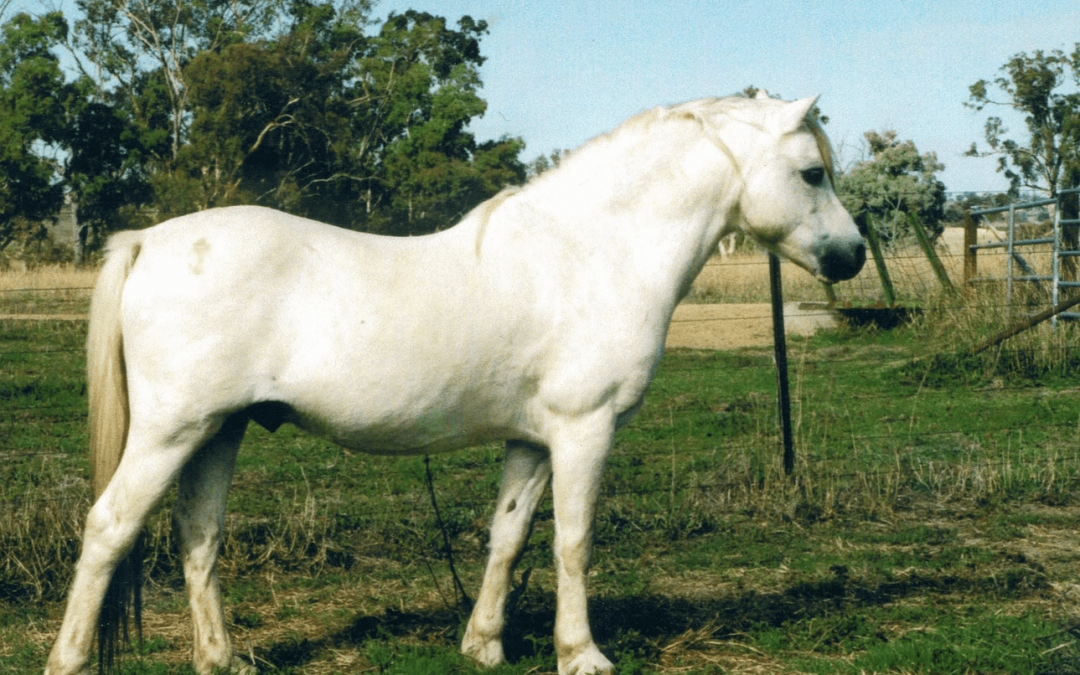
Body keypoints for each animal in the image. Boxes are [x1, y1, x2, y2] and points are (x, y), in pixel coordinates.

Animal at [46, 95, 864, 673]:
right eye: (812, 172)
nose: (852, 255)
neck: (592, 252)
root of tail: (148, 241)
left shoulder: (532, 441)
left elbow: (508, 536)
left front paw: (485, 644)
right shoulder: (584, 429)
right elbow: (573, 541)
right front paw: (582, 654)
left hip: (220, 430)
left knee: (199, 537)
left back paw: (222, 660)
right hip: (171, 431)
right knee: (109, 527)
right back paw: (70, 658)